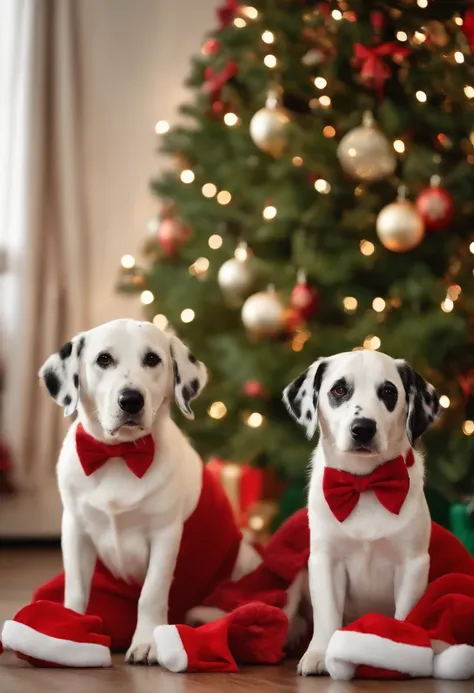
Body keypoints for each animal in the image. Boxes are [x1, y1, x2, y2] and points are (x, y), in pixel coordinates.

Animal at [39, 318, 262, 664]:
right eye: (104, 359)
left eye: (153, 359)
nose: (131, 400)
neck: (119, 456)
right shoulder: (76, 530)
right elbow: (75, 590)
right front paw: (68, 632)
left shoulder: (165, 536)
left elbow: (151, 594)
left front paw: (146, 642)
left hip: (241, 567)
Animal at [282, 348, 440, 672]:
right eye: (339, 390)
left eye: (389, 392)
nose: (363, 429)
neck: (365, 485)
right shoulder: (325, 562)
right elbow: (327, 613)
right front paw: (319, 653)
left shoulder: (413, 564)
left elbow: (405, 615)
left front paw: (401, 650)